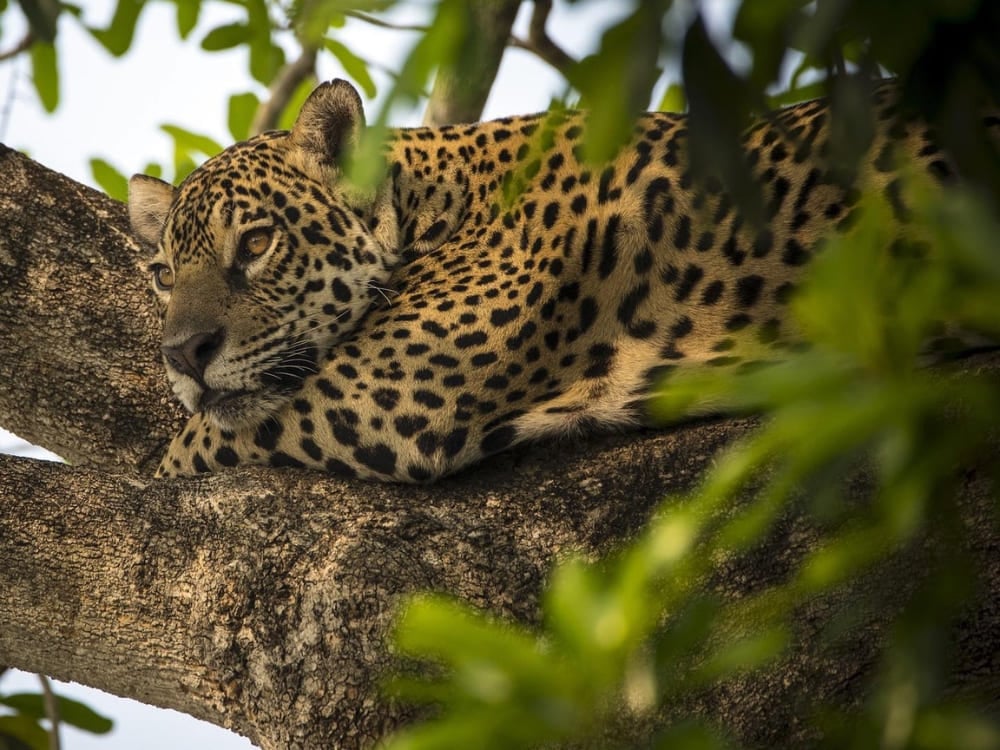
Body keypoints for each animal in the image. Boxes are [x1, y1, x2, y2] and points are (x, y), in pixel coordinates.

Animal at [127, 77, 974, 481]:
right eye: (165, 275)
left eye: (257, 242)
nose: (183, 355)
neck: (432, 201)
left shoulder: (384, 394)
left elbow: (186, 450)